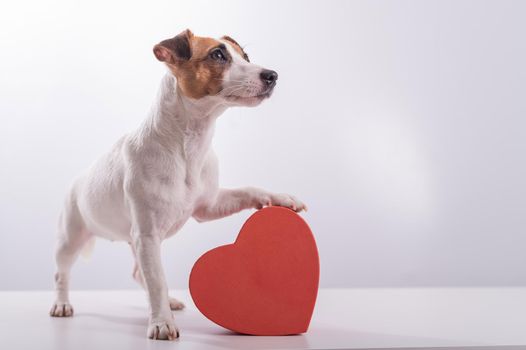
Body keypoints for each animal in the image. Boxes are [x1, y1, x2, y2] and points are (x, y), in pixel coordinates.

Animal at [49, 28, 308, 340]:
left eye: (245, 56)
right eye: (217, 55)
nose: (272, 75)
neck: (189, 143)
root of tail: (77, 180)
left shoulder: (208, 207)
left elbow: (249, 190)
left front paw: (281, 197)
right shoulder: (148, 235)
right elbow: (157, 281)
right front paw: (162, 322)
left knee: (139, 273)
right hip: (72, 238)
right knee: (63, 273)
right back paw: (62, 304)